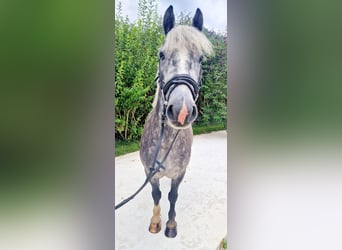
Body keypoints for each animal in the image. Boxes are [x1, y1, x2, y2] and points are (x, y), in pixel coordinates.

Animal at [140, 4, 214, 237]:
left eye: (200, 59)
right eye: (161, 55)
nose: (181, 111)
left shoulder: (179, 174)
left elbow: (173, 196)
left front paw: (171, 225)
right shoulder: (151, 173)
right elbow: (156, 195)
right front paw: (155, 222)